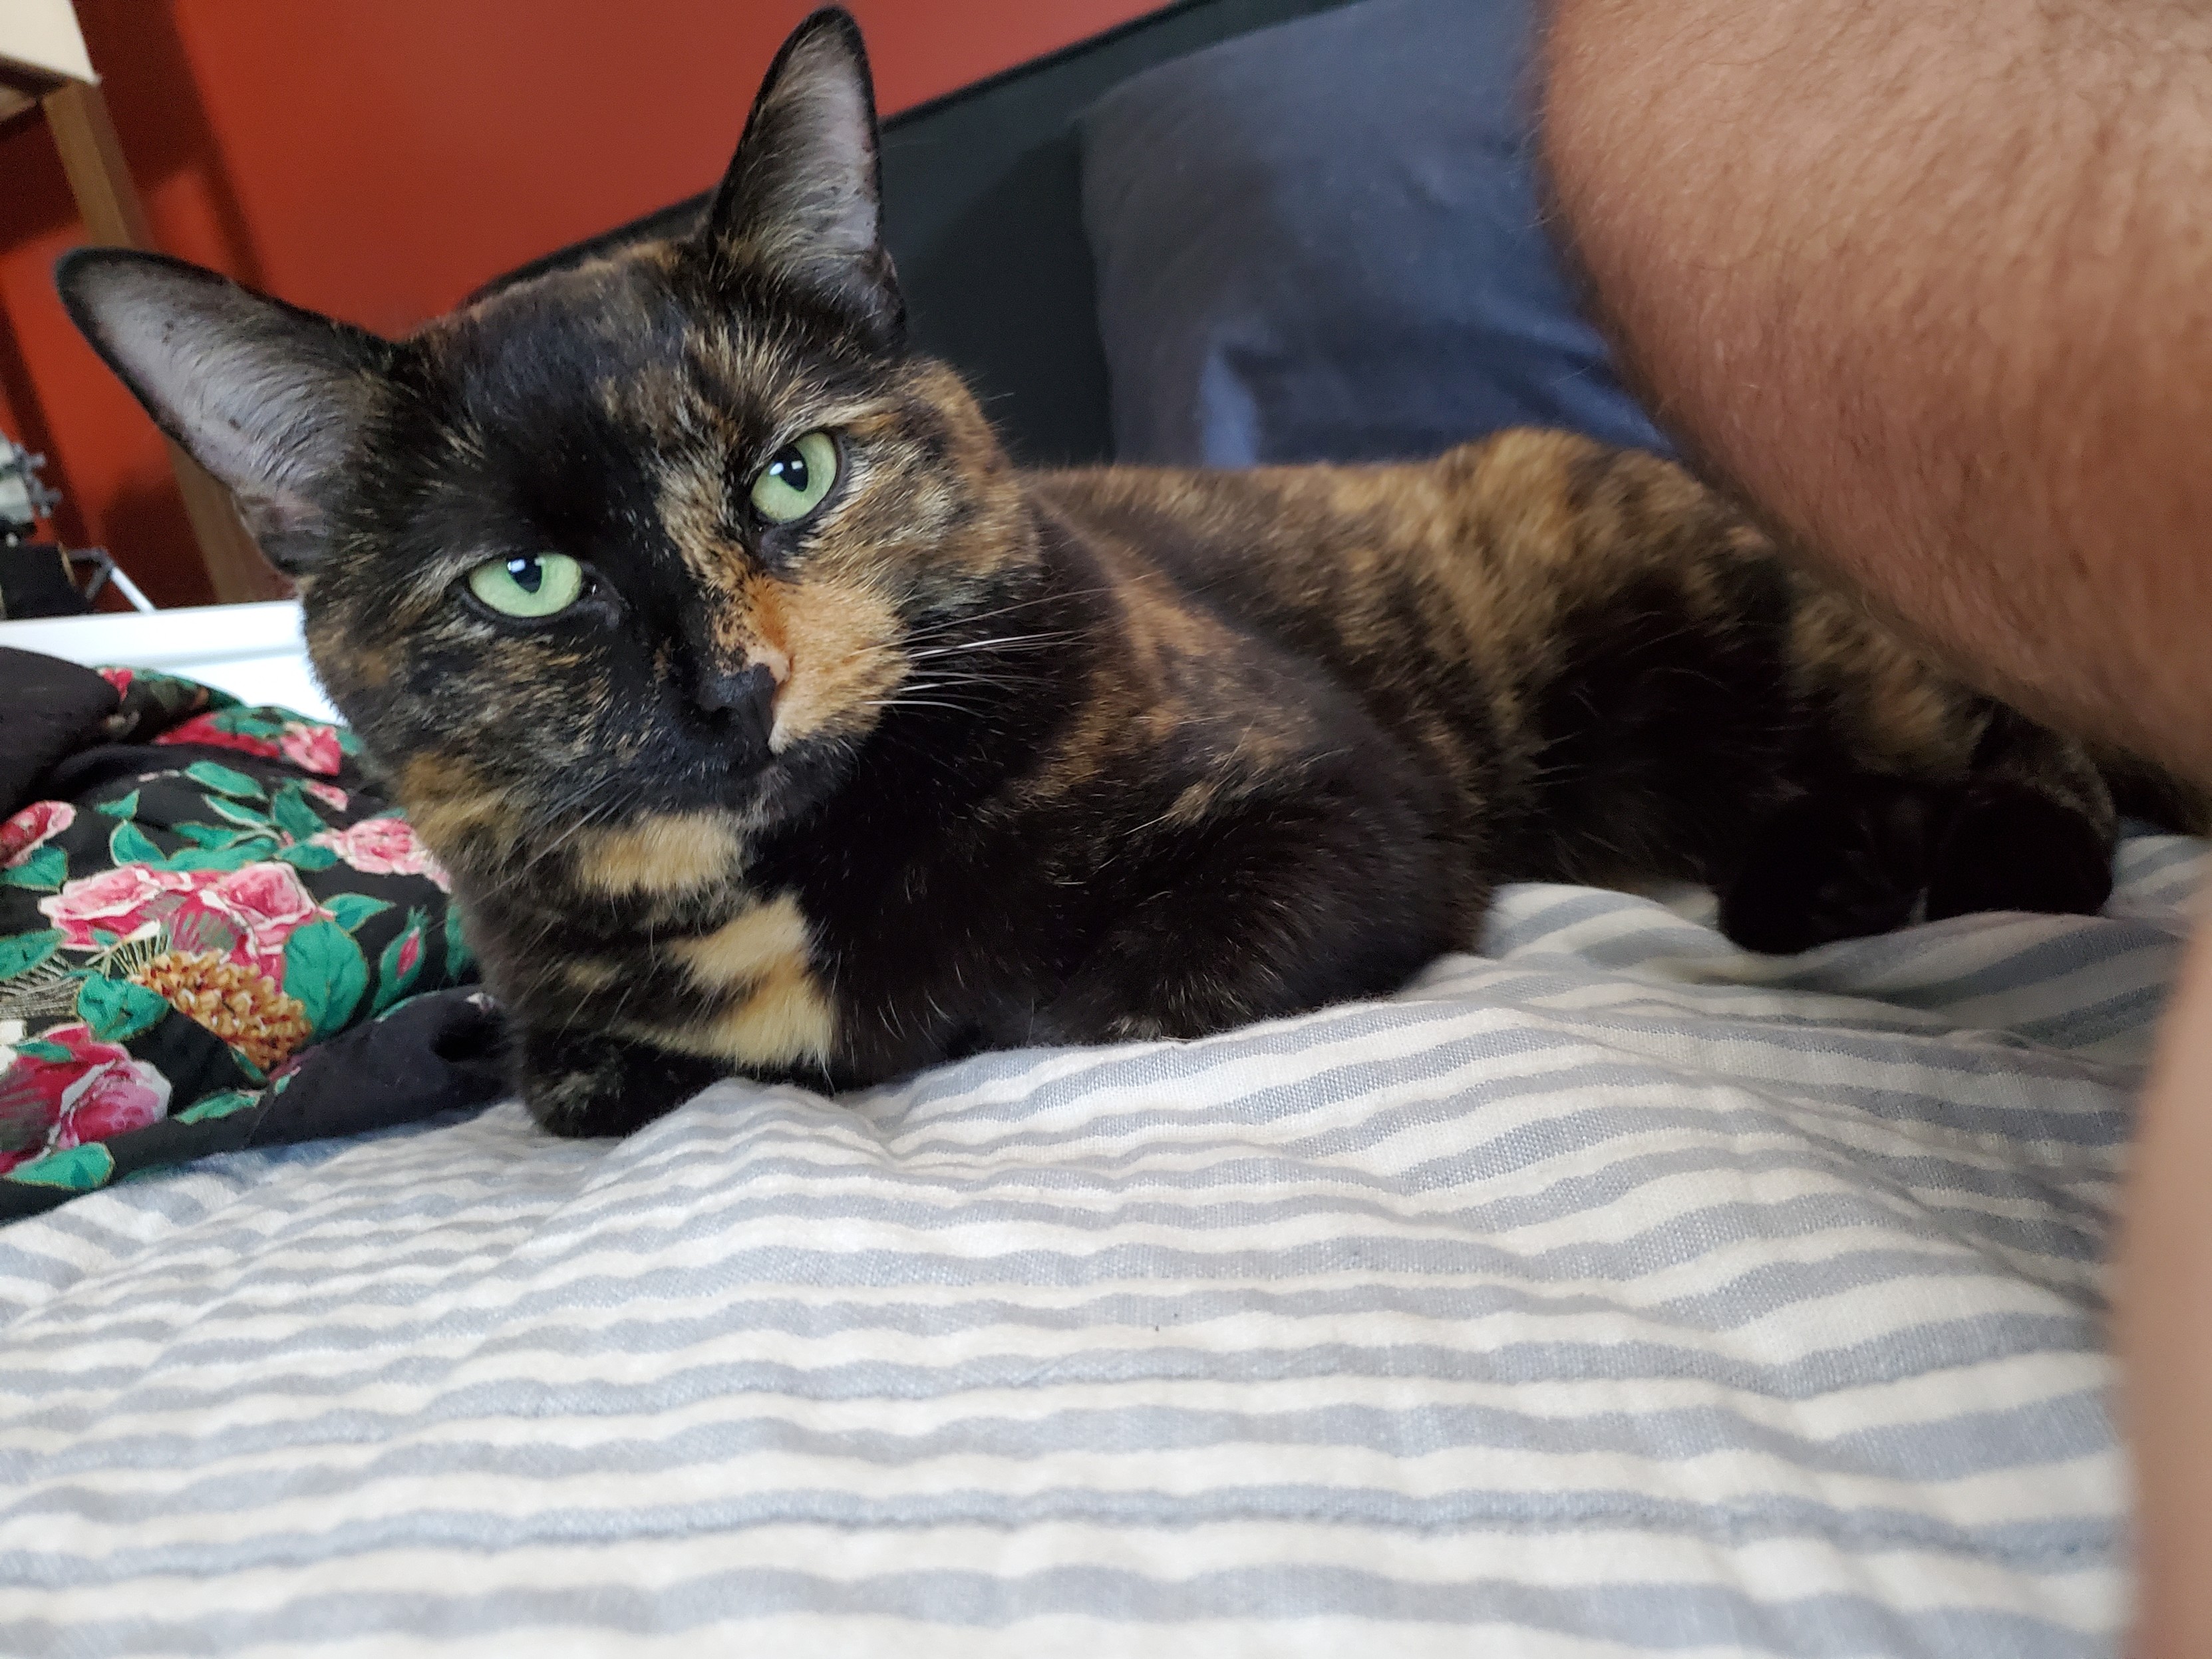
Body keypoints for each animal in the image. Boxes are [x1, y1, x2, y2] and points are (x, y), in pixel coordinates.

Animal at [55, 8, 2202, 1137]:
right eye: (527, 584)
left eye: (792, 471)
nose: (733, 686)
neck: (780, 877)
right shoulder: (574, 1039)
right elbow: (594, 1078)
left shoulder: (1346, 815)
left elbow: (1079, 992)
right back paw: (1822, 879)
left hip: (1736, 638)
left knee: (1992, 722)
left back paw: (1978, 852)